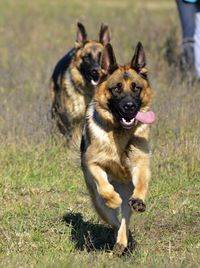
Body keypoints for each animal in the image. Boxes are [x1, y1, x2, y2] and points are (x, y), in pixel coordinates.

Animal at [80, 42, 155, 253]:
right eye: (116, 89)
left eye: (136, 88)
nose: (129, 107)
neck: (120, 133)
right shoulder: (92, 164)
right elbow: (104, 186)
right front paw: (112, 198)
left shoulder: (141, 164)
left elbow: (142, 183)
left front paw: (139, 200)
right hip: (98, 203)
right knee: (113, 219)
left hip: (126, 191)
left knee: (124, 220)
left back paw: (123, 241)